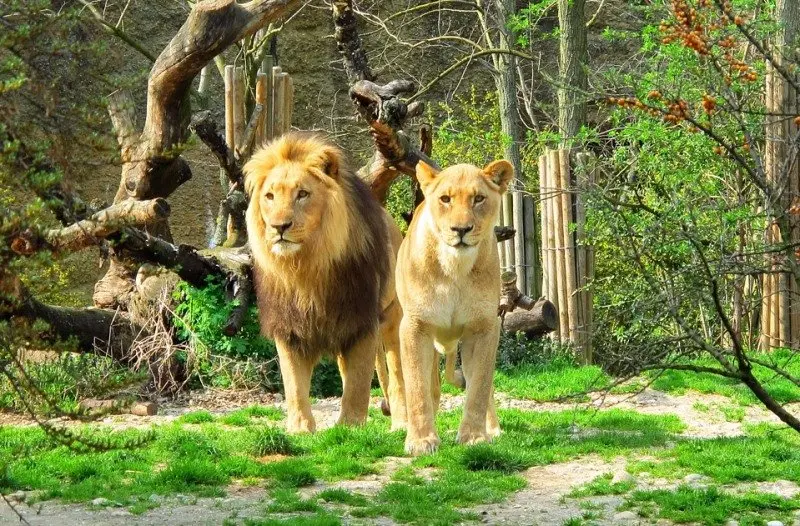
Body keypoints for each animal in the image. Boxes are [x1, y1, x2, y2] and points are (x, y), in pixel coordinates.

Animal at [244, 133, 406, 434]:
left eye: (302, 194)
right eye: (269, 196)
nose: (279, 227)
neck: (307, 267)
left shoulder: (362, 321)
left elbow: (358, 384)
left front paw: (350, 427)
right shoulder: (289, 327)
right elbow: (294, 385)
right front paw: (300, 429)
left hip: (393, 316)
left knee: (399, 373)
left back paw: (402, 423)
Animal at [396, 159, 513, 455]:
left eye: (479, 199)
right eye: (445, 199)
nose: (461, 230)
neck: (455, 268)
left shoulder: (484, 327)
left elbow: (480, 387)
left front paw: (474, 437)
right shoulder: (414, 326)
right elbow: (417, 388)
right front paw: (421, 440)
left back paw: (493, 429)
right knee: (432, 387)